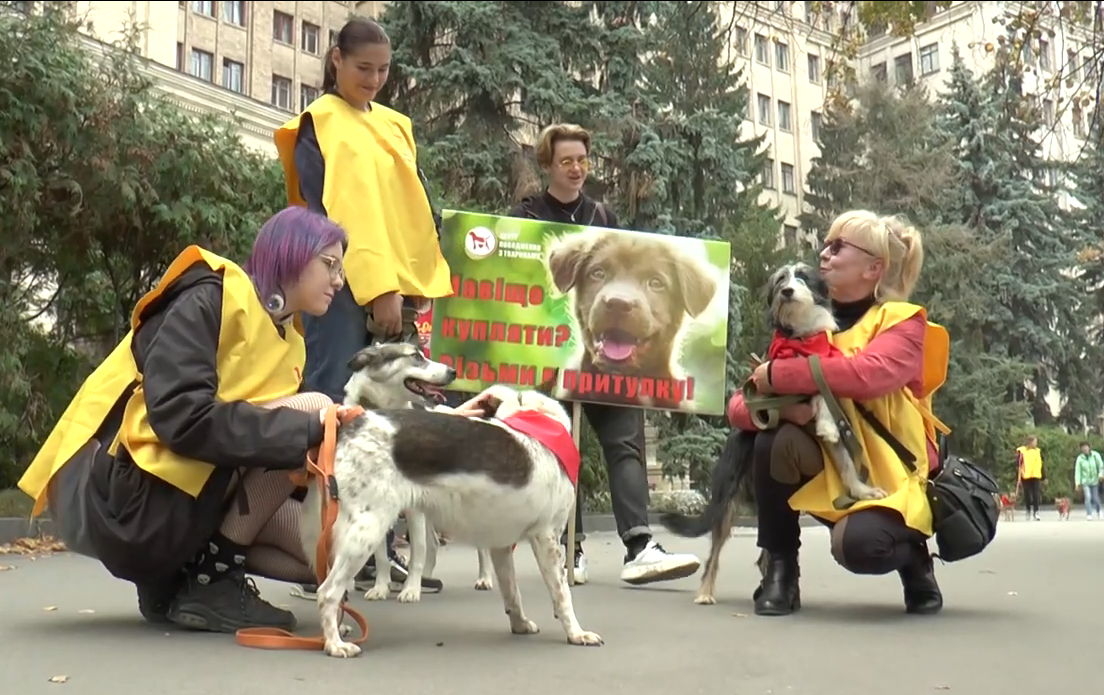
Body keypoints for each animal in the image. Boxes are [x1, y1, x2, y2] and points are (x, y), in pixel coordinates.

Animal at [298, 383, 600, 661]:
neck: (536, 423)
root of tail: (348, 429)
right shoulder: (547, 536)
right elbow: (562, 594)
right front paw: (576, 633)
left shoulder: (501, 546)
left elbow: (512, 593)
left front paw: (520, 624)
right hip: (366, 531)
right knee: (328, 592)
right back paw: (334, 644)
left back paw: (337, 631)